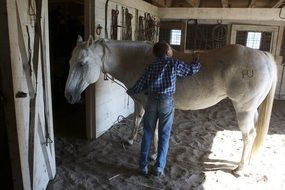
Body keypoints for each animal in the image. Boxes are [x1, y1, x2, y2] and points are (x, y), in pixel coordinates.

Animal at [63, 35, 276, 174]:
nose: (68, 95)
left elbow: (154, 130)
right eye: (70, 61)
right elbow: (137, 120)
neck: (137, 60)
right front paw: (130, 140)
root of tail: (263, 56)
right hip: (251, 110)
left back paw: (240, 168)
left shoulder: (150, 105)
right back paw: (247, 162)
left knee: (248, 136)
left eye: (82, 63)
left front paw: (152, 155)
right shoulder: (139, 102)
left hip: (244, 110)